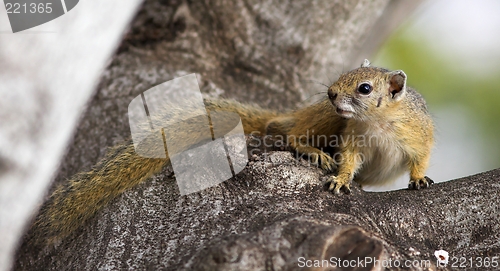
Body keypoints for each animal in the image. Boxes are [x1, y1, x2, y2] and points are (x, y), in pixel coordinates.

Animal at [26, 60, 434, 246]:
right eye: (343, 75)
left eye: (365, 87)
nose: (333, 93)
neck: (377, 123)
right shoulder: (350, 137)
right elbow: (348, 160)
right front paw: (340, 178)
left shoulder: (419, 135)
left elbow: (420, 158)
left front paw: (419, 179)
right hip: (321, 117)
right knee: (284, 131)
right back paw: (307, 148)